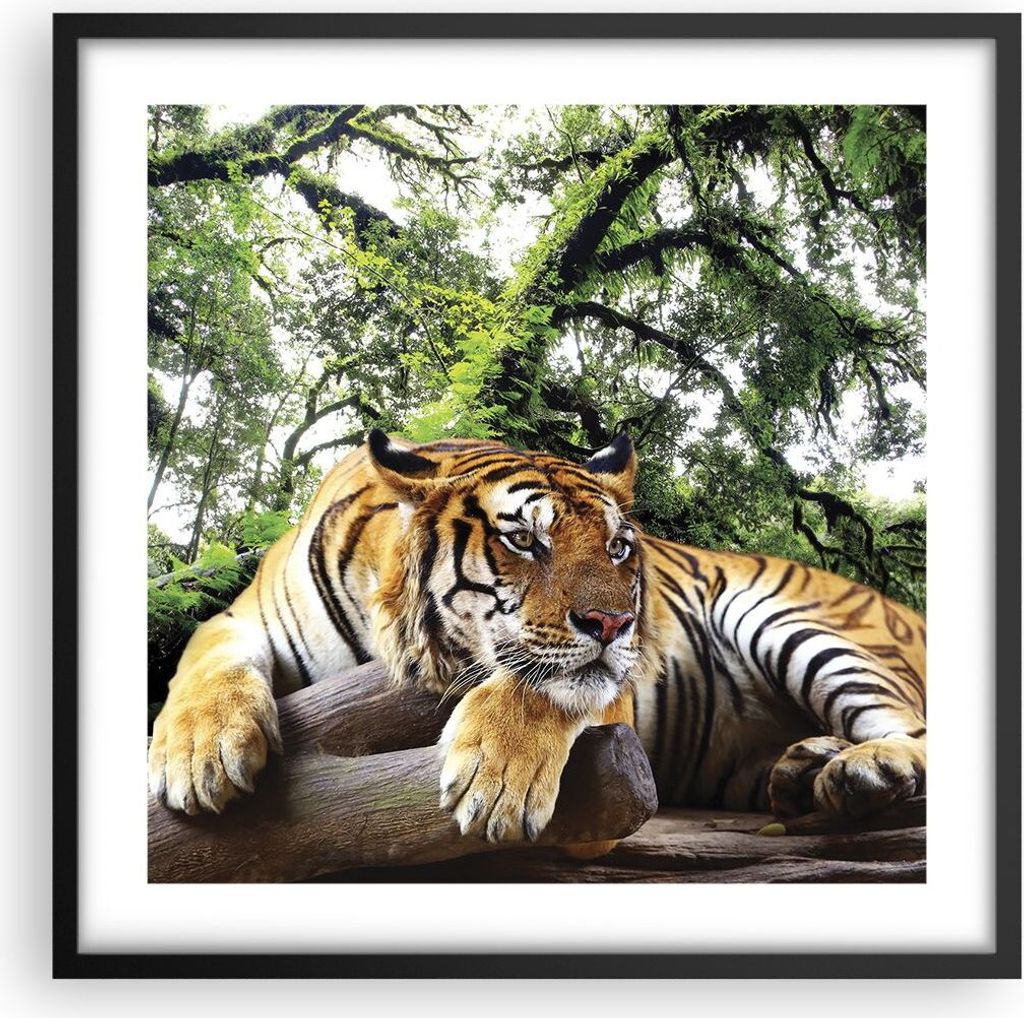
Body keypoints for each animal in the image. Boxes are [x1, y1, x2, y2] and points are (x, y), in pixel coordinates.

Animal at [148, 430, 926, 850]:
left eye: (618, 547)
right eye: (524, 539)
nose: (615, 625)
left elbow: (545, 686)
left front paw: (496, 781)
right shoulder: (238, 619)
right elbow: (205, 663)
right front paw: (200, 756)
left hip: (785, 618)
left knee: (915, 731)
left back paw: (863, 770)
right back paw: (804, 768)